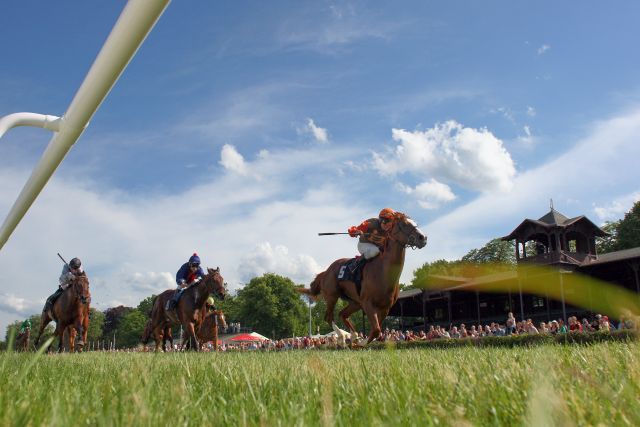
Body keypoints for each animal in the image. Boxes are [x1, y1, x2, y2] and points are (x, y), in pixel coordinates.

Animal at [298, 211, 424, 344]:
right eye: (404, 224)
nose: (423, 238)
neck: (383, 271)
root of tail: (326, 271)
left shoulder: (385, 307)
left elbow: (377, 328)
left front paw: (361, 340)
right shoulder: (367, 303)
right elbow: (376, 330)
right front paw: (363, 342)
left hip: (355, 302)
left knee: (342, 314)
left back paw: (353, 336)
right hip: (332, 296)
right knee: (329, 317)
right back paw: (342, 337)